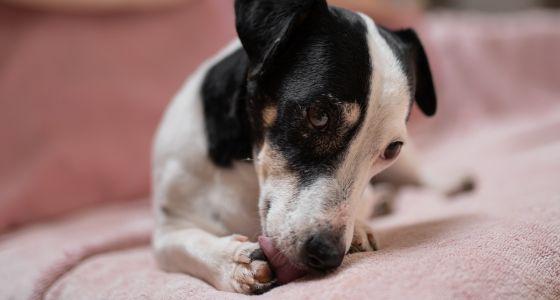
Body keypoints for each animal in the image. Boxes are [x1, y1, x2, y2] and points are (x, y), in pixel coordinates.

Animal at [151, 0, 470, 296]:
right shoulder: (167, 229)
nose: (327, 254)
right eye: (319, 116)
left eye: (392, 149)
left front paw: (360, 228)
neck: (245, 165)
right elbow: (187, 244)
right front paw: (233, 261)